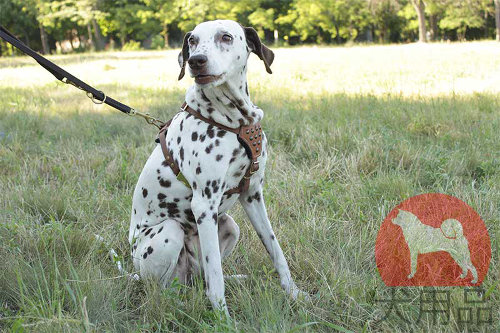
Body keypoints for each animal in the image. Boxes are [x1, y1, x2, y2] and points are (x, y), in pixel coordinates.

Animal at [128, 19, 308, 316]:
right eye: (192, 40)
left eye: (226, 37)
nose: (196, 61)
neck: (236, 122)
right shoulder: (204, 204)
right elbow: (216, 279)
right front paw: (223, 316)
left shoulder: (253, 195)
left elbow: (275, 249)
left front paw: (293, 293)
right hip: (169, 233)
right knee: (167, 290)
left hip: (229, 225)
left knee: (203, 277)